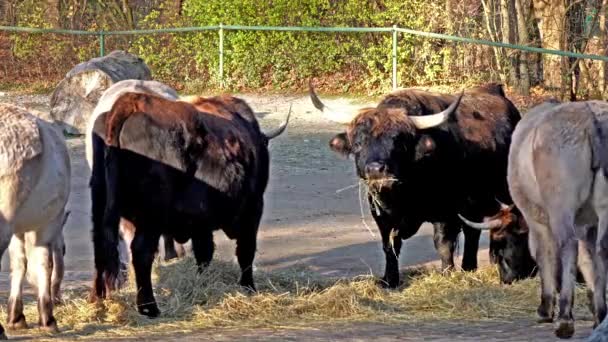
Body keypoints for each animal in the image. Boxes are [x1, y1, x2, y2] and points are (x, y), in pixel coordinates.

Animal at [0, 103, 70, 338]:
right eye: (64, 250)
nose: (58, 298)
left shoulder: (18, 229)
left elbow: (19, 263)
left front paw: (15, 317)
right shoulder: (46, 227)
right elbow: (44, 265)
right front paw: (47, 319)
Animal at [89, 92, 290, 316]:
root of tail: (132, 102)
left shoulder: (201, 221)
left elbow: (204, 252)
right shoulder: (253, 208)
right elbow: (245, 251)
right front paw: (249, 287)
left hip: (101, 205)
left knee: (101, 248)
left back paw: (98, 299)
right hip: (151, 218)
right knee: (141, 252)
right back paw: (149, 307)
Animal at [312, 82, 536, 286]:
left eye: (397, 141)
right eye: (358, 143)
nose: (376, 169)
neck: (405, 192)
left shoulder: (445, 211)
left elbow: (443, 243)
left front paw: (447, 273)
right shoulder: (381, 214)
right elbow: (390, 245)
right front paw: (389, 280)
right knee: (472, 230)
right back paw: (469, 267)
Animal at [506, 99, 608, 340]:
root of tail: (592, 119)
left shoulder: (536, 219)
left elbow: (544, 254)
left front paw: (545, 307)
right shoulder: (588, 223)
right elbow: (589, 259)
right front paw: (595, 307)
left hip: (561, 203)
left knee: (568, 246)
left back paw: (564, 318)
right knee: (602, 248)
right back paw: (601, 315)